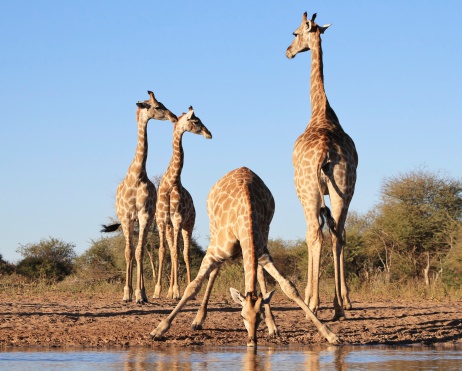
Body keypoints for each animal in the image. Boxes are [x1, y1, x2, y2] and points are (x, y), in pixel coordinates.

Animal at [100, 91, 177, 306]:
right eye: (158, 106)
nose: (174, 116)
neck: (137, 175)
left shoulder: (144, 215)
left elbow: (139, 252)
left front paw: (140, 294)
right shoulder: (126, 216)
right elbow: (128, 252)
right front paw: (126, 293)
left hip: (148, 220)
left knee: (142, 250)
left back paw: (142, 293)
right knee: (133, 250)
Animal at [152, 167, 340, 348]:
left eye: (259, 317)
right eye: (241, 316)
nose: (251, 341)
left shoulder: (262, 252)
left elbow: (289, 287)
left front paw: (330, 334)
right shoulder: (214, 252)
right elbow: (192, 287)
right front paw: (159, 330)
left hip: (264, 235)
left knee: (259, 274)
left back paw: (273, 327)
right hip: (213, 230)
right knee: (214, 273)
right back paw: (198, 321)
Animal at [154, 106, 214, 300]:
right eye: (196, 121)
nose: (209, 134)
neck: (170, 182)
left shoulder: (178, 219)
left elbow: (178, 253)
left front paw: (177, 290)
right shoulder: (162, 220)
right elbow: (163, 251)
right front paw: (158, 291)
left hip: (188, 225)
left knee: (185, 253)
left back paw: (186, 288)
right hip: (171, 227)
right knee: (173, 250)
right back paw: (170, 291)